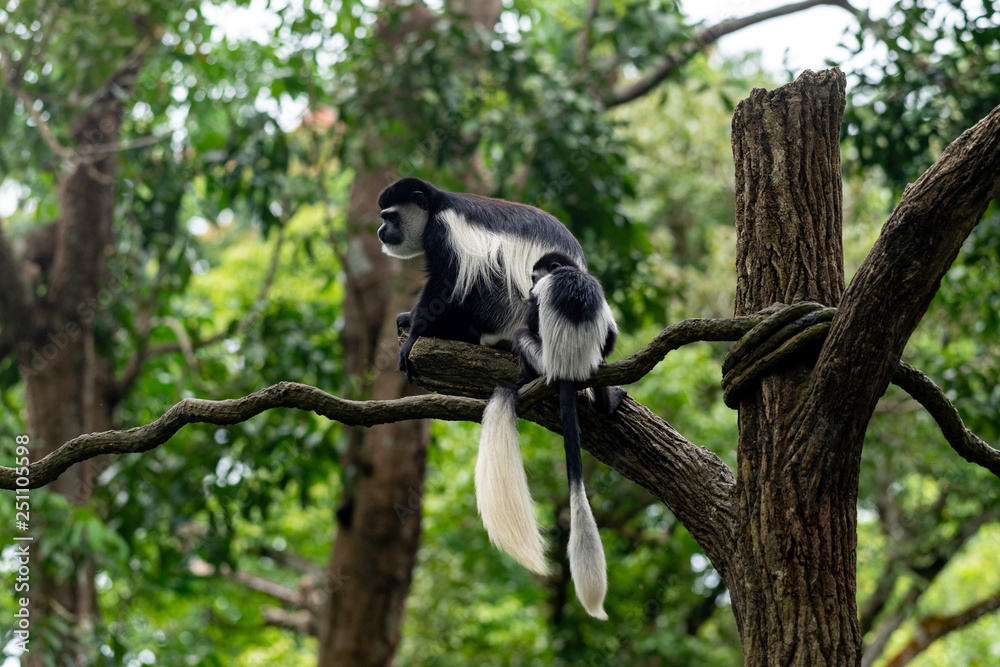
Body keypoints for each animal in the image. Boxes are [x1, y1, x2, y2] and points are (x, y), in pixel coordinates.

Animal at [376, 177, 585, 382]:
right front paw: (407, 318)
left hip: (506, 310)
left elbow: (445, 284)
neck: (436, 209)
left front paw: (413, 339)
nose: (380, 232)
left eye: (392, 217)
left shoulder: (445, 230)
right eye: (384, 217)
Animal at [476, 250, 622, 620]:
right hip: (590, 363)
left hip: (540, 356)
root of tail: (568, 366)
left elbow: (530, 321)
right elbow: (611, 334)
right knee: (601, 356)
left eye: (534, 277)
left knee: (523, 336)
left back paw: (526, 375)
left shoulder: (542, 292)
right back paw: (607, 402)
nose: (529, 285)